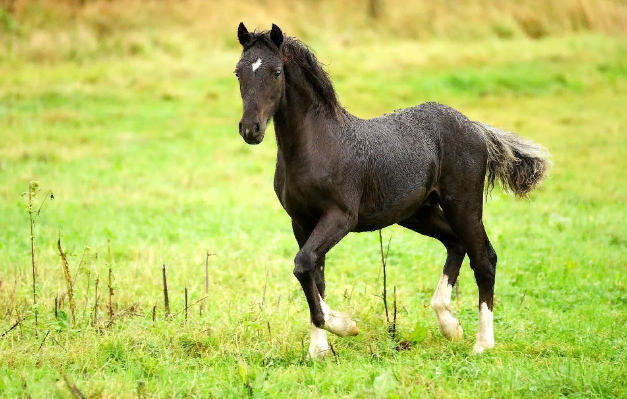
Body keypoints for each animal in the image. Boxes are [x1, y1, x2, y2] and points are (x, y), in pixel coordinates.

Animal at [234, 22, 548, 360]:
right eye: (239, 72)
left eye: (276, 72)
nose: (250, 129)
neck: (320, 145)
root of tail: (475, 128)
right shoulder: (301, 222)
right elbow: (314, 275)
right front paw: (318, 350)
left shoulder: (340, 217)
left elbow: (304, 265)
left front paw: (346, 326)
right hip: (418, 213)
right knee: (455, 243)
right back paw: (449, 325)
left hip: (463, 204)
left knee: (484, 259)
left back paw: (482, 343)